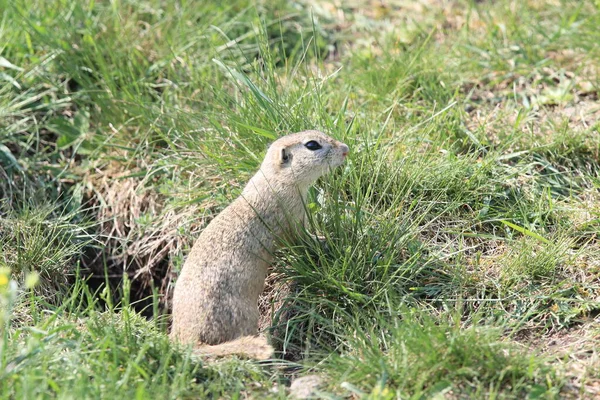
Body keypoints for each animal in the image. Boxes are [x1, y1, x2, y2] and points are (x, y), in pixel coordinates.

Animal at [170, 130, 346, 360]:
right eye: (312, 145)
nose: (345, 149)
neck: (274, 179)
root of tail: (189, 342)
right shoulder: (293, 219)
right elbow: (302, 240)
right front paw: (327, 241)